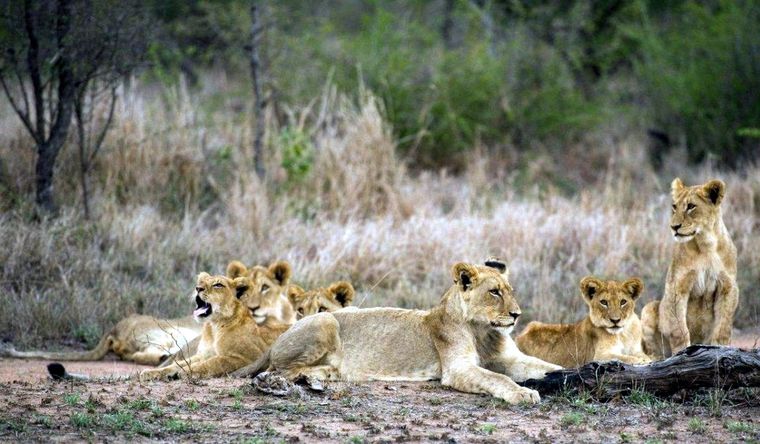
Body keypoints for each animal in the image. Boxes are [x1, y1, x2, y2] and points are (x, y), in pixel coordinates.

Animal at [139, 272, 288, 381]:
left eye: (218, 285)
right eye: (200, 282)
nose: (198, 288)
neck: (214, 326)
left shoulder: (247, 357)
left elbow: (213, 362)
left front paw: (186, 371)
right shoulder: (204, 354)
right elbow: (178, 364)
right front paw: (152, 372)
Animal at [233, 260, 561, 404]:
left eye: (510, 291)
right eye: (494, 292)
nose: (517, 314)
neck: (484, 330)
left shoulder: (510, 359)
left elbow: (547, 366)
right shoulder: (458, 369)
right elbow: (497, 378)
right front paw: (523, 392)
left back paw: (323, 377)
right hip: (327, 321)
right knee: (278, 370)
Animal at [515, 277, 651, 367]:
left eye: (623, 302)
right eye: (604, 302)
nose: (615, 320)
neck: (623, 334)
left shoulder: (636, 349)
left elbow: (643, 355)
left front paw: (646, 359)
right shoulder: (600, 356)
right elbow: (622, 357)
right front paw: (641, 361)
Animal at [641, 178, 739, 359]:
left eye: (691, 206)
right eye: (674, 206)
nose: (674, 227)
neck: (705, 244)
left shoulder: (728, 287)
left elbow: (723, 327)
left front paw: (720, 349)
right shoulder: (677, 286)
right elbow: (679, 329)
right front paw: (682, 353)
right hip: (648, 308)